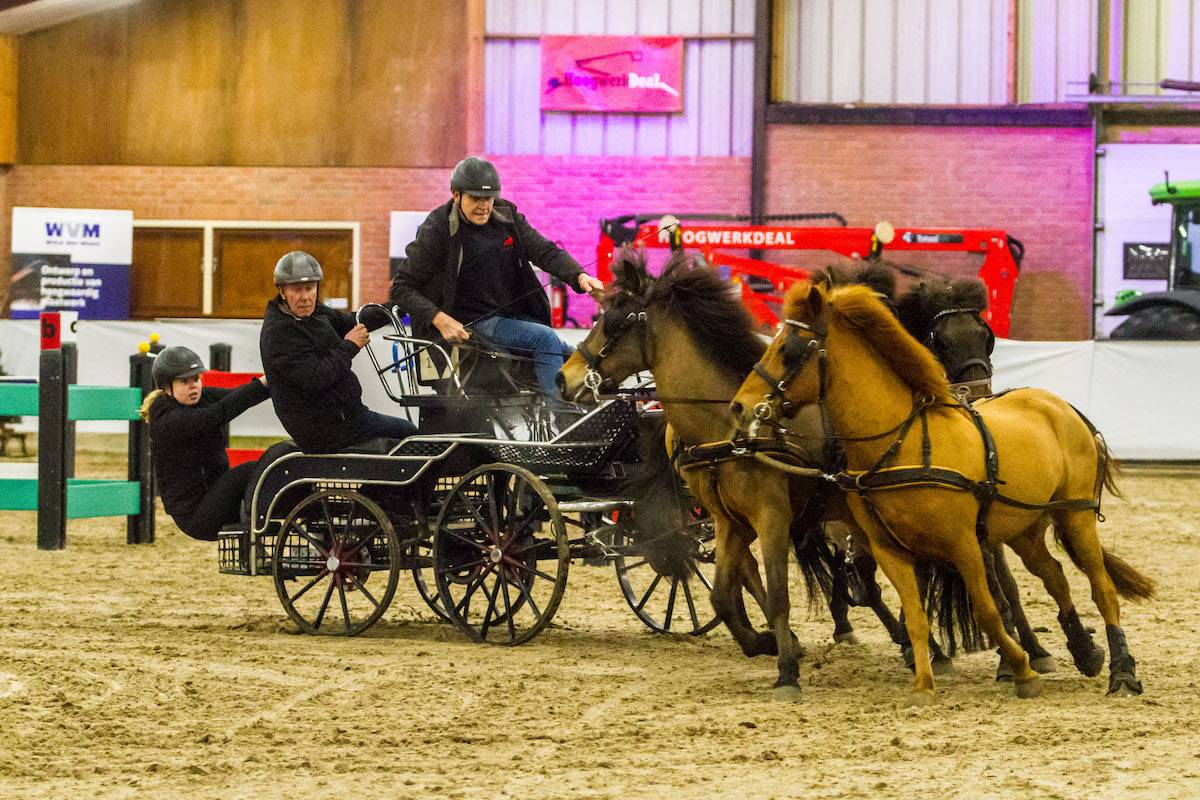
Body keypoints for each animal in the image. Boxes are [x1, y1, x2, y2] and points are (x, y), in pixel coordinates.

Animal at [731, 281, 1155, 703]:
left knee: (1102, 589)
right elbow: (917, 616)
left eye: (788, 350)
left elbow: (988, 609)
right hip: (1024, 528)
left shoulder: (963, 543)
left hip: (1075, 516)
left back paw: (1122, 672)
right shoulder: (890, 549)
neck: (903, 443)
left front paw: (1020, 669)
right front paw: (924, 683)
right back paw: (1085, 651)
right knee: (1054, 575)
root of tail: (1059, 404)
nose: (740, 406)